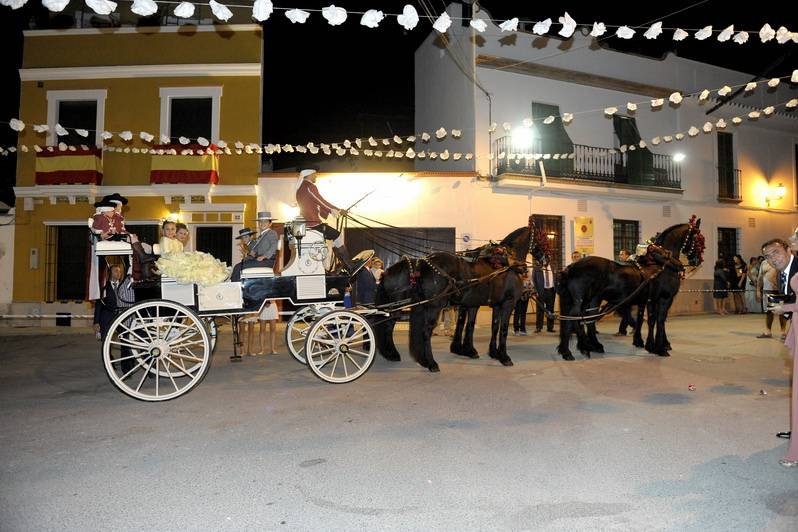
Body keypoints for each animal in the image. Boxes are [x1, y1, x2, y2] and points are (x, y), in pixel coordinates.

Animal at [376, 219, 544, 370]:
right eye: (541, 237)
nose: (544, 258)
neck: (507, 264)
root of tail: (425, 262)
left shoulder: (490, 304)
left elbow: (486, 326)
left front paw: (489, 352)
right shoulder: (508, 303)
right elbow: (501, 329)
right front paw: (504, 357)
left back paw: (409, 357)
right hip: (432, 306)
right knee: (421, 330)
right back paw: (430, 363)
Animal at [556, 218, 708, 360]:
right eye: (699, 239)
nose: (697, 260)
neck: (662, 264)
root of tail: (571, 267)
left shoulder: (650, 299)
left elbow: (650, 320)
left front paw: (650, 345)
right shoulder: (665, 298)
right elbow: (660, 320)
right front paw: (661, 348)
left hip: (591, 299)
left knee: (584, 319)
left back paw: (576, 349)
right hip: (582, 300)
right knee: (575, 318)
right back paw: (584, 346)